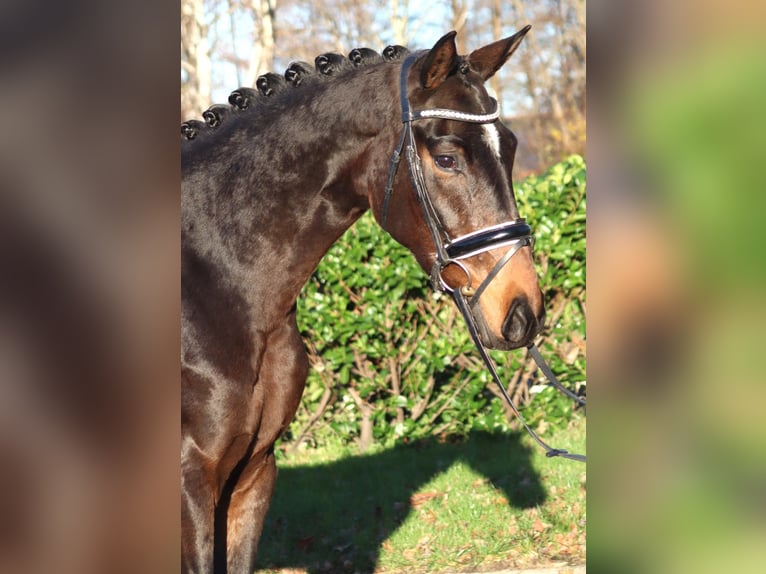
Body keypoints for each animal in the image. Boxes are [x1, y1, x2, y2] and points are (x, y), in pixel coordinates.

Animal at [182, 28, 544, 574]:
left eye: (512, 147)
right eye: (446, 158)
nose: (523, 311)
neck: (217, 292)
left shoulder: (252, 475)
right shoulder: (194, 483)